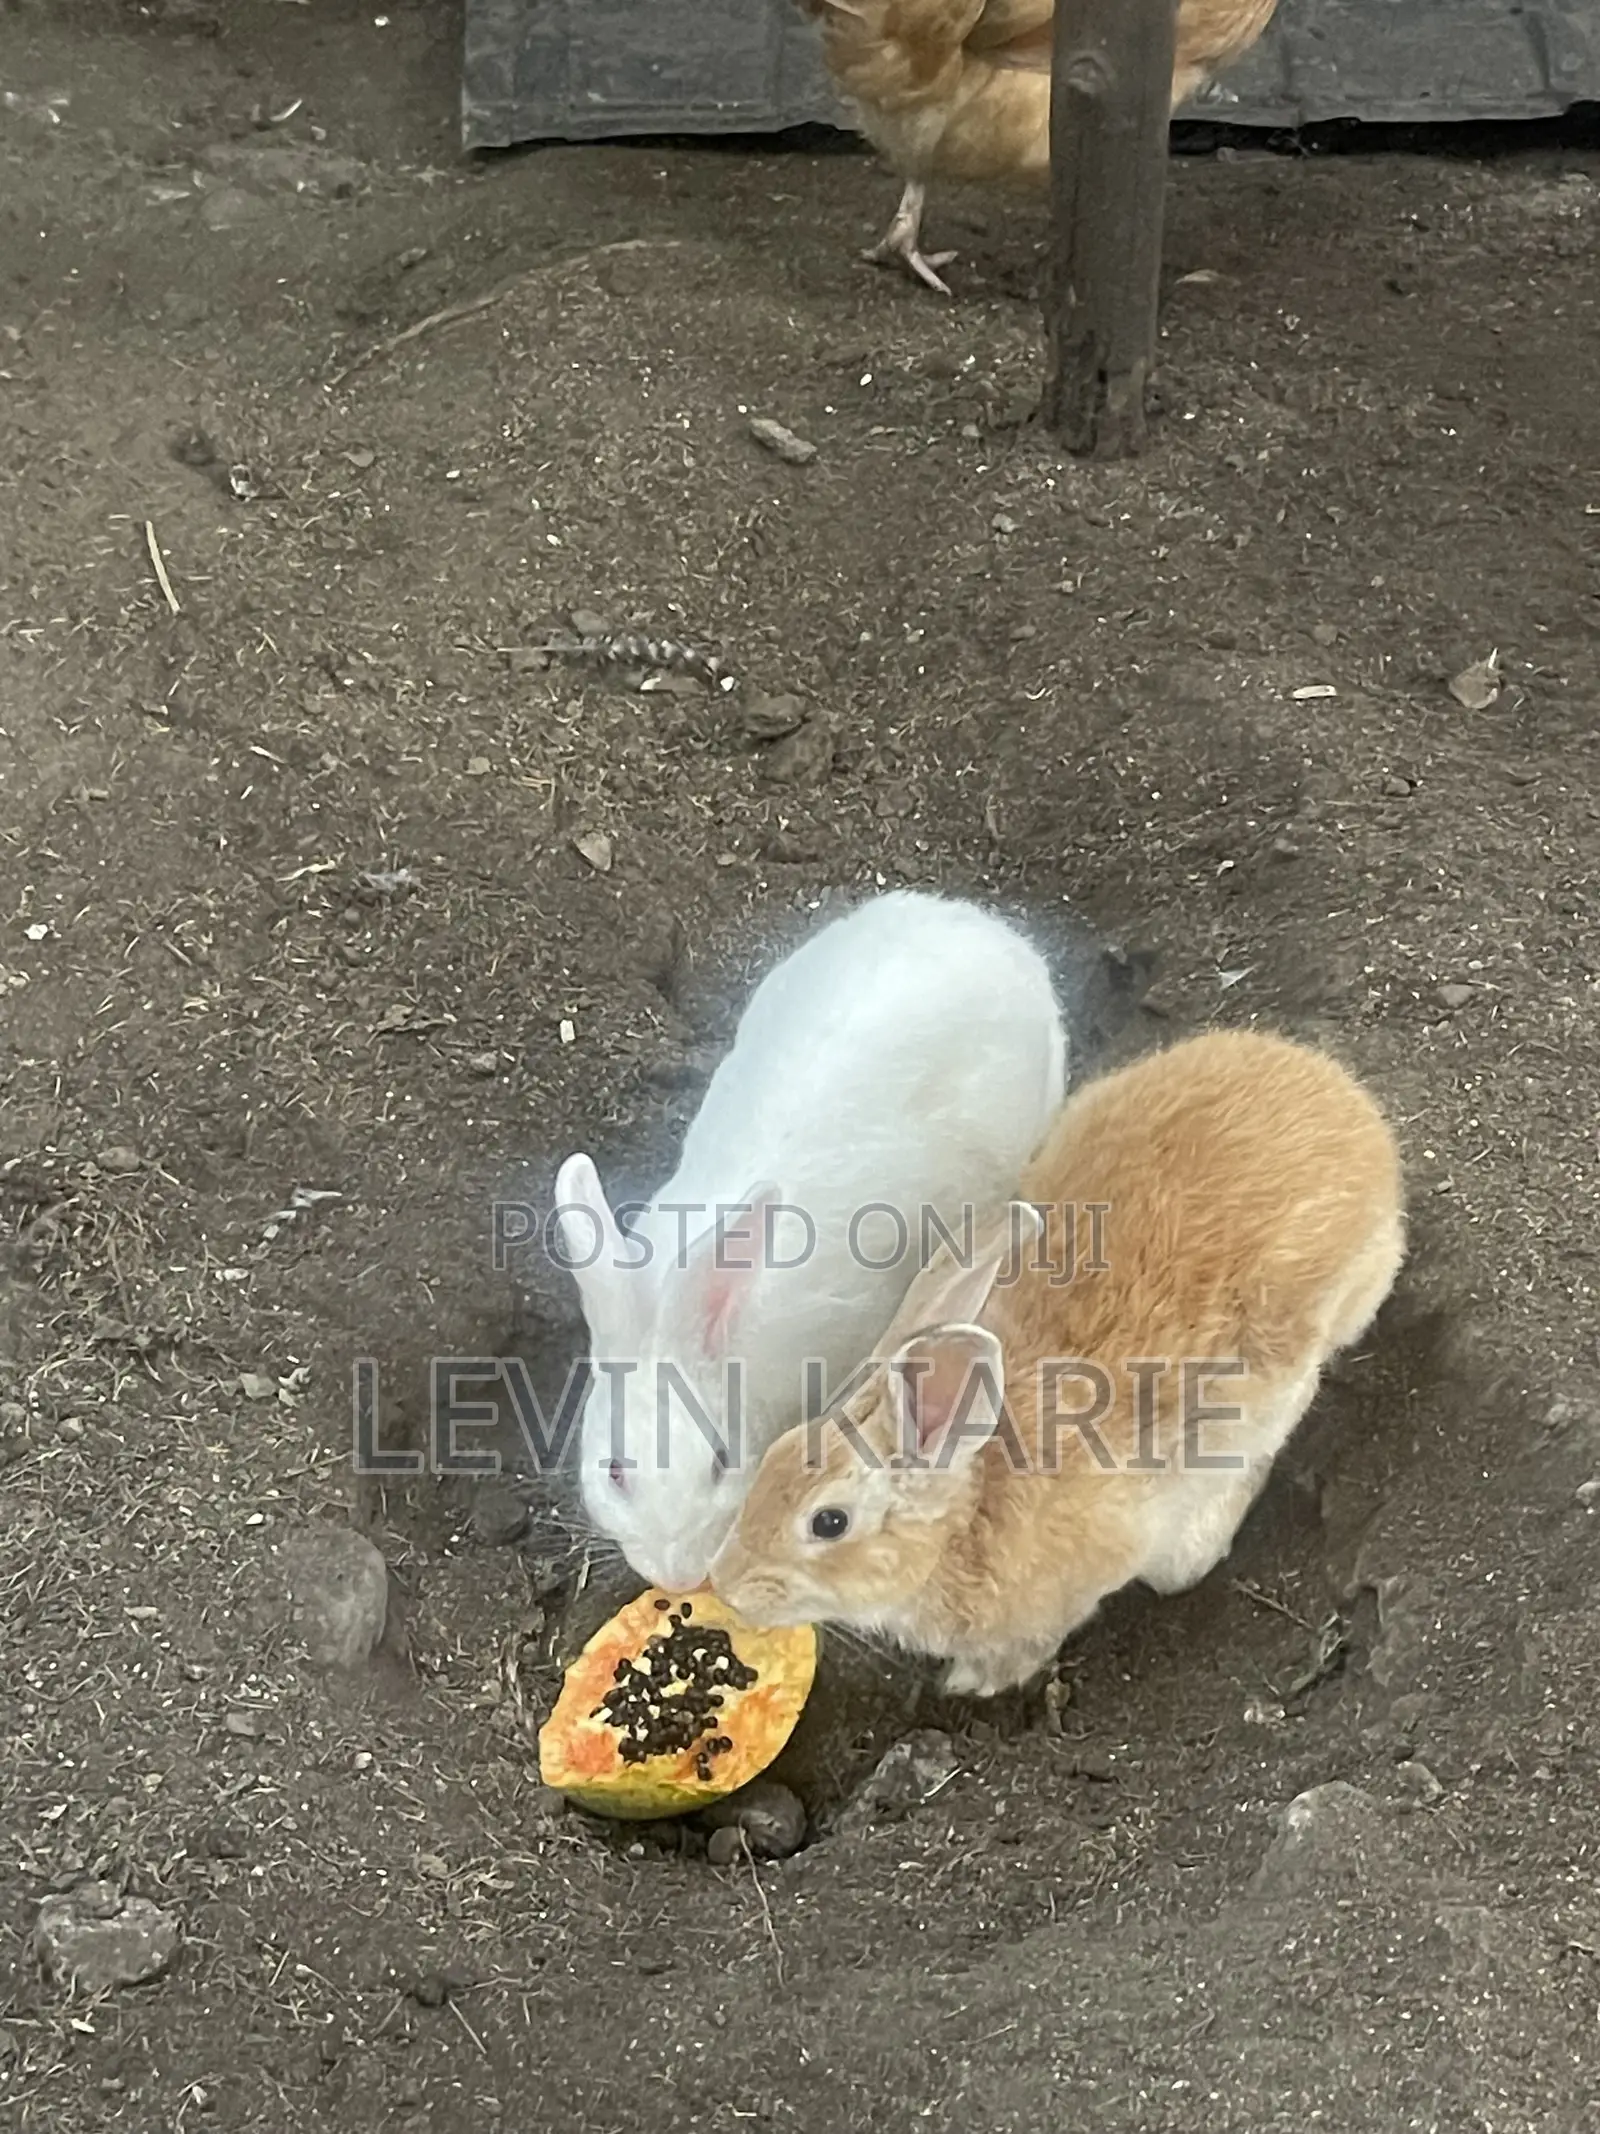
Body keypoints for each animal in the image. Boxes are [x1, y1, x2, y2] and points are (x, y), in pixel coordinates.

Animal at [710, 1027, 1405, 1696]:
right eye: (774, 1457)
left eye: (829, 1522)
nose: (727, 1582)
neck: (964, 1518)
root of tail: (1355, 1114)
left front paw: (977, 1681)